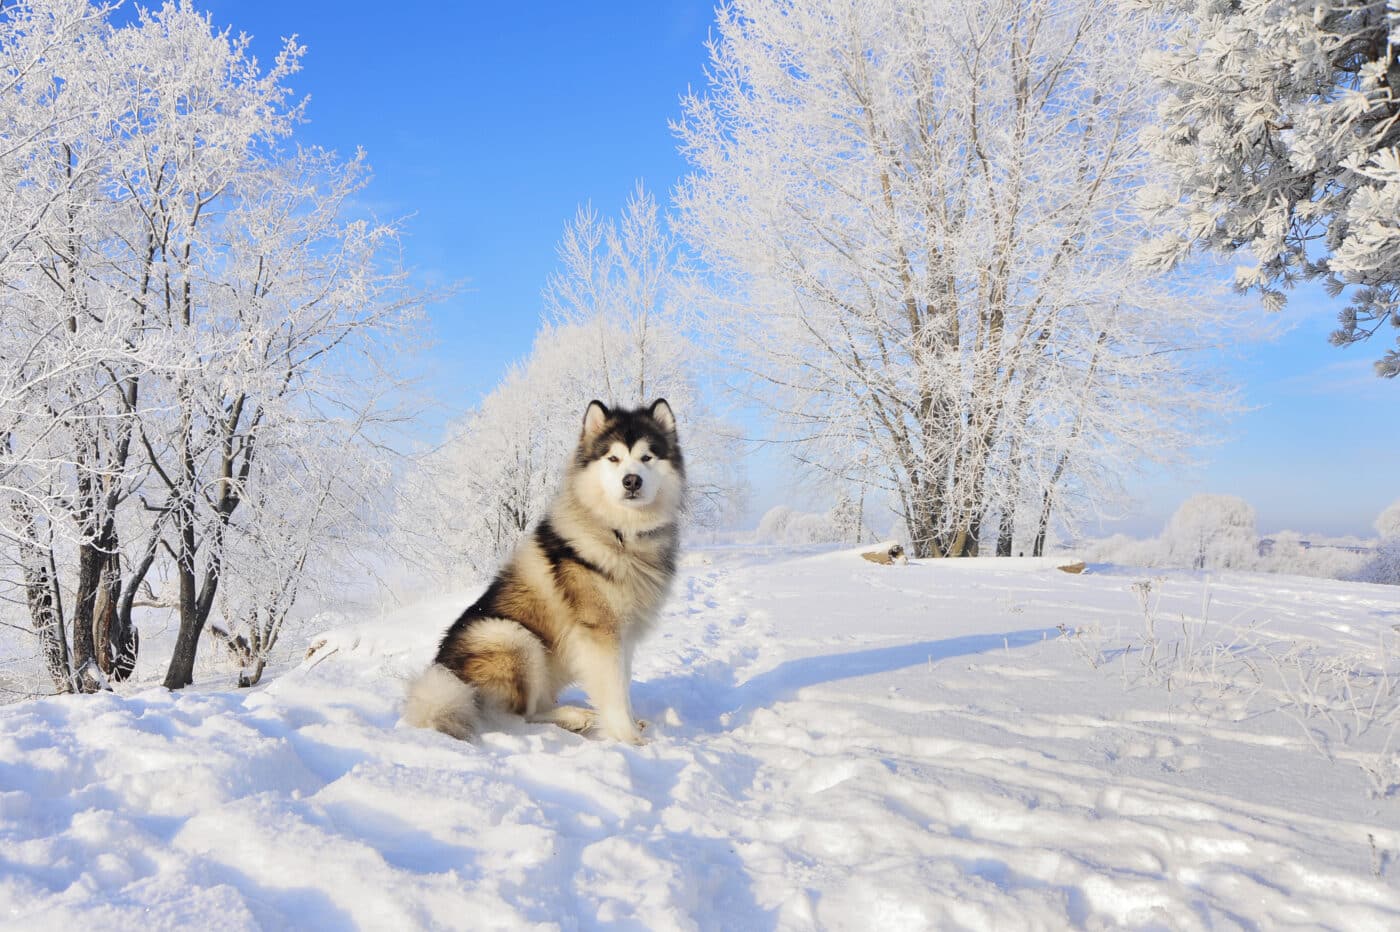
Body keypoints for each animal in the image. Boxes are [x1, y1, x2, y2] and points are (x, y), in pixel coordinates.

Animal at [403, 397, 686, 738]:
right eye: (613, 458)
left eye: (647, 457)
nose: (632, 480)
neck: (622, 533)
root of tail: (444, 678)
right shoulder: (601, 634)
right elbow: (615, 693)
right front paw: (629, 739)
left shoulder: (624, 636)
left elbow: (623, 686)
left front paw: (631, 725)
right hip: (512, 636)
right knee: (517, 717)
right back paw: (573, 717)